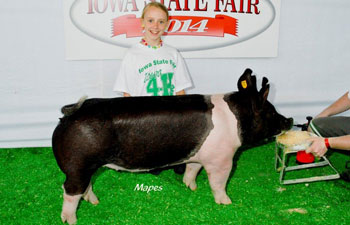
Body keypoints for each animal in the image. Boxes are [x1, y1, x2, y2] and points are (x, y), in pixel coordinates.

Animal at [52, 68, 292, 223]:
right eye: (271, 112)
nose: (289, 120)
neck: (236, 118)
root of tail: (70, 114)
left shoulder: (198, 155)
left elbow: (192, 169)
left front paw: (191, 187)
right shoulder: (222, 159)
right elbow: (218, 183)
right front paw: (226, 203)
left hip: (88, 167)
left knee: (87, 186)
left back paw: (95, 203)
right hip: (78, 165)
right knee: (69, 191)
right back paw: (71, 220)